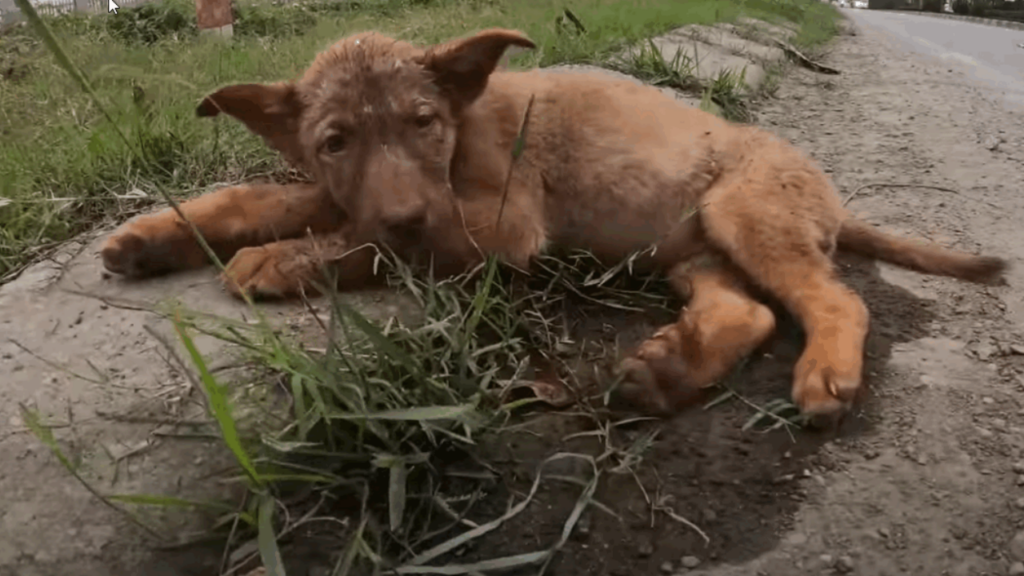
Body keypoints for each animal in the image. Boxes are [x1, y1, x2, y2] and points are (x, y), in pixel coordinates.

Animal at [97, 28, 1007, 422]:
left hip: (744, 210)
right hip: (690, 248)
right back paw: (667, 373)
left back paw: (824, 375)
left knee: (835, 300)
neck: (462, 131)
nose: (406, 207)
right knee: (746, 309)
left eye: (423, 121)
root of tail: (833, 194)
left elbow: (370, 240)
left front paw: (282, 260)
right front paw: (154, 236)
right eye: (334, 140)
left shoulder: (500, 225)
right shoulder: (360, 192)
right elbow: (271, 197)